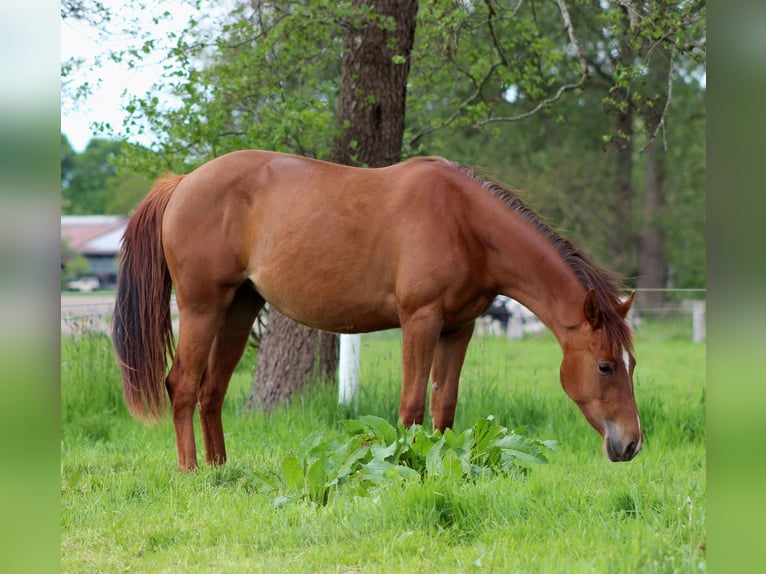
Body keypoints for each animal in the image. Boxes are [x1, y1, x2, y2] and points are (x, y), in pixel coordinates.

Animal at [113, 150, 642, 471]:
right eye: (605, 365)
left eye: (632, 364)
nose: (631, 443)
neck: (464, 222)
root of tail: (182, 182)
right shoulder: (420, 321)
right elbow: (411, 407)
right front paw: (405, 464)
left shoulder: (459, 328)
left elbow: (444, 406)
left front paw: (443, 466)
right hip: (202, 307)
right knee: (183, 385)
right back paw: (191, 471)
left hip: (239, 308)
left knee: (212, 390)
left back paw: (221, 469)